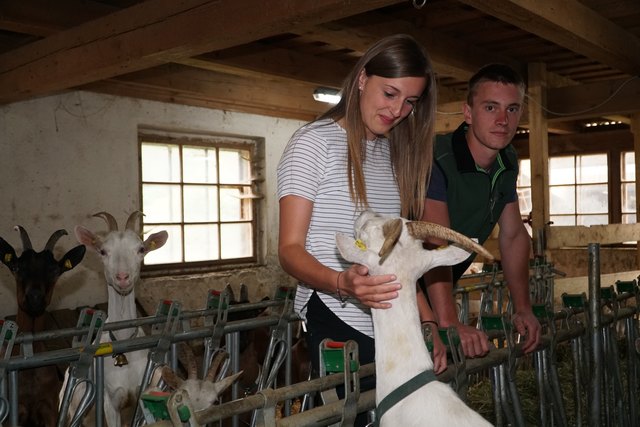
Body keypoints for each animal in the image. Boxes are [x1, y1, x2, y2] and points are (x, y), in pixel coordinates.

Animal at [60, 211, 169, 427]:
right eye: (102, 251)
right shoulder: (110, 402)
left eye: (141, 249)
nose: (122, 277)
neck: (123, 341)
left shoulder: (139, 397)